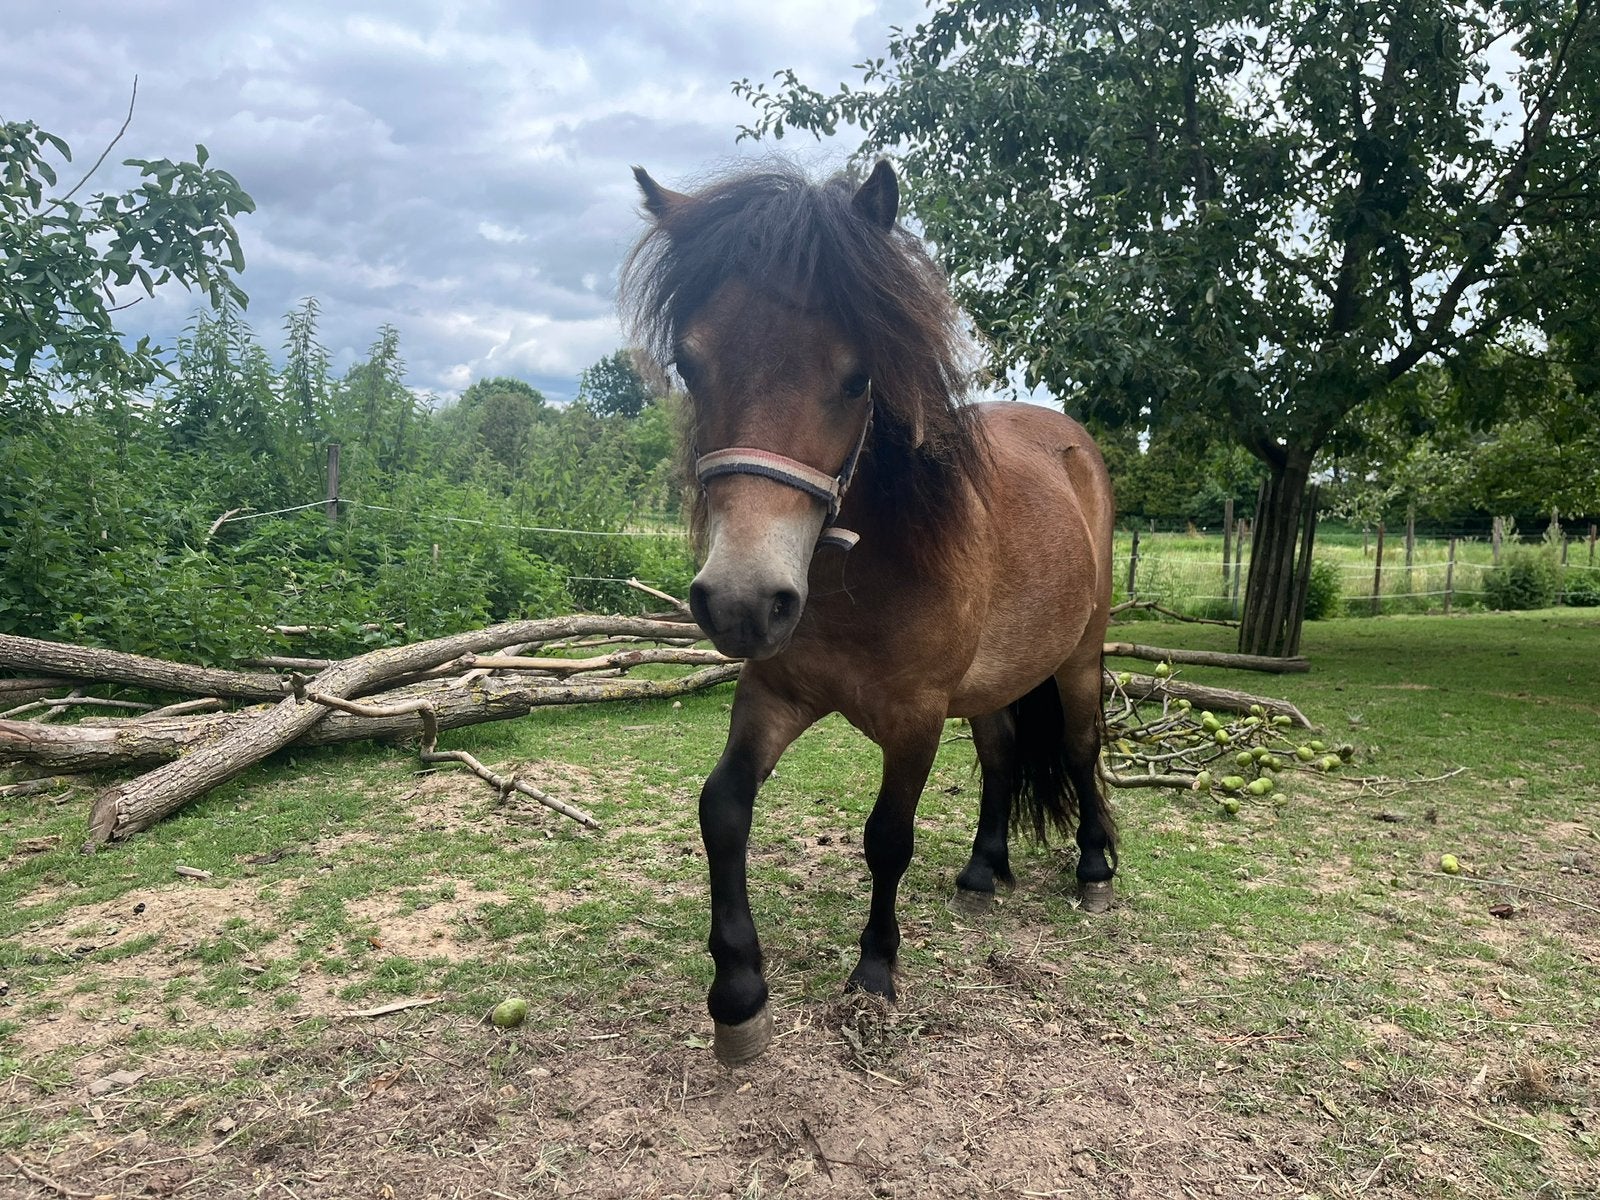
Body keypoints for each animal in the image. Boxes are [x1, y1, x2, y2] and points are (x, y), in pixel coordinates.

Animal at [622, 159, 1117, 1066]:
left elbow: (887, 837)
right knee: (1002, 754)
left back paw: (1095, 870)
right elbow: (723, 808)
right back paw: (982, 871)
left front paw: (875, 972)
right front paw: (738, 995)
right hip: (992, 681)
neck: (861, 571)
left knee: (1077, 747)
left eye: (856, 377)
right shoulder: (776, 692)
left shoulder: (914, 716)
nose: (742, 600)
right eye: (690, 364)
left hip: (1079, 657)